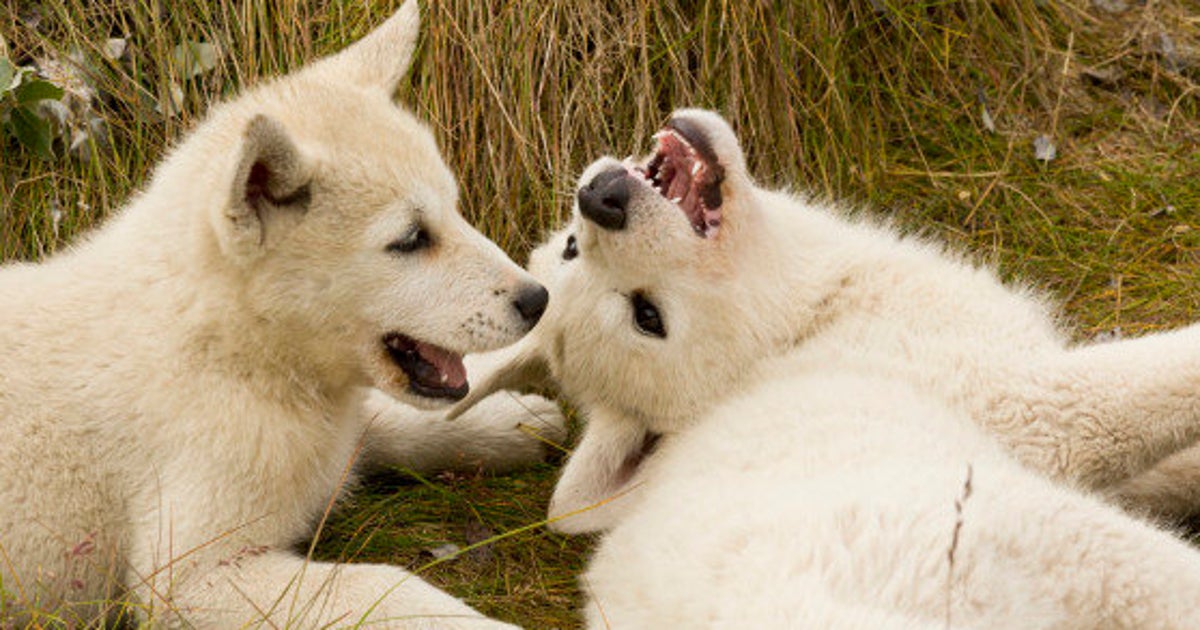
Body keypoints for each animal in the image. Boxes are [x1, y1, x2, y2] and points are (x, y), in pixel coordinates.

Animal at [0, 2, 561, 624]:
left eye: (454, 210)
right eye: (412, 239)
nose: (537, 300)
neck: (229, 346)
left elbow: (385, 420)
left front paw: (514, 420)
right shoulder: (193, 573)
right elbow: (386, 589)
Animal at [456, 110, 1200, 624]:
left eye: (571, 247)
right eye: (649, 317)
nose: (602, 197)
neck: (798, 332)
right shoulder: (1049, 403)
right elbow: (1171, 372)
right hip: (1066, 540)